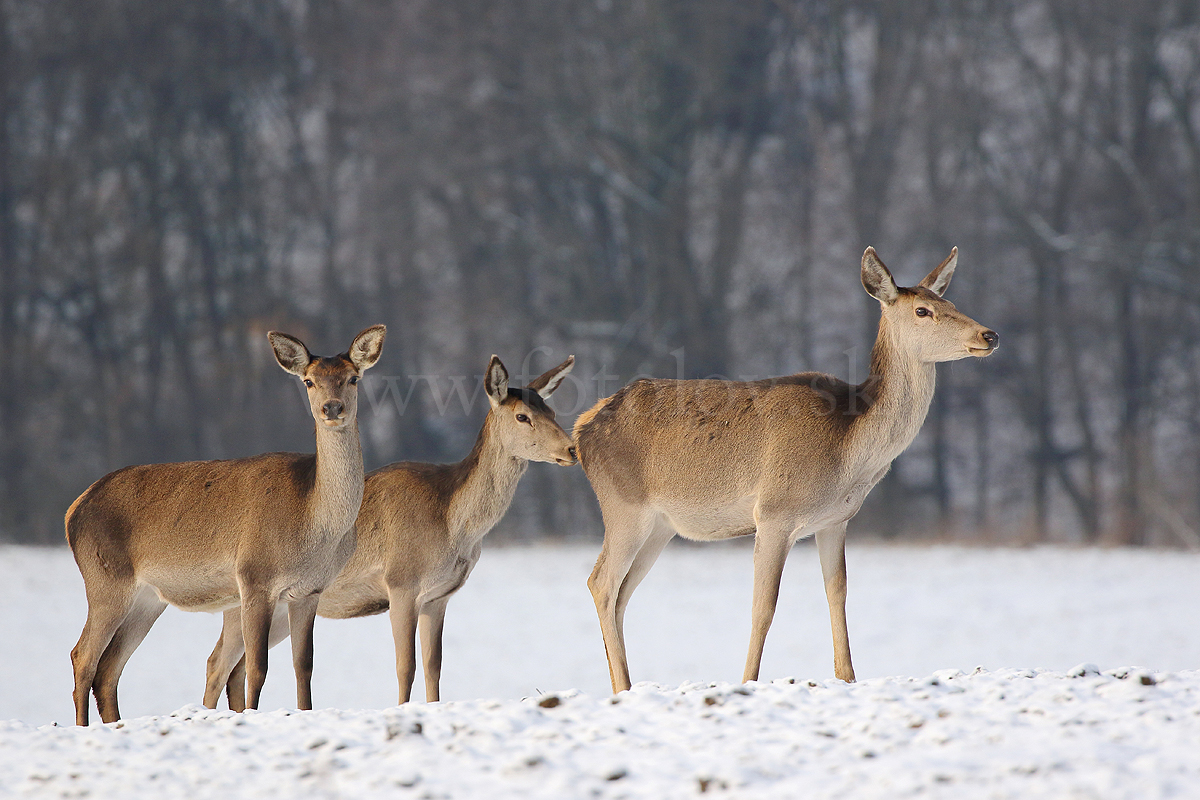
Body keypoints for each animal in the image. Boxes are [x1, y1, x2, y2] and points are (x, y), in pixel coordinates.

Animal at [65, 323, 384, 724]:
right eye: (309, 381)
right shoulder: (255, 577)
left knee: (108, 669)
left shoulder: (309, 590)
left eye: (353, 378)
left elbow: (304, 666)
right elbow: (258, 667)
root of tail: (73, 510)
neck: (316, 525)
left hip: (146, 598)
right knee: (82, 656)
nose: (332, 408)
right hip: (105, 579)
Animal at [201, 352, 576, 705]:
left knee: (231, 666)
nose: (571, 449)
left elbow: (434, 665)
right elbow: (405, 665)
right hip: (247, 596)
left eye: (553, 412)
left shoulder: (439, 596)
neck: (453, 525)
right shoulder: (401, 582)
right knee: (218, 662)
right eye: (522, 416)